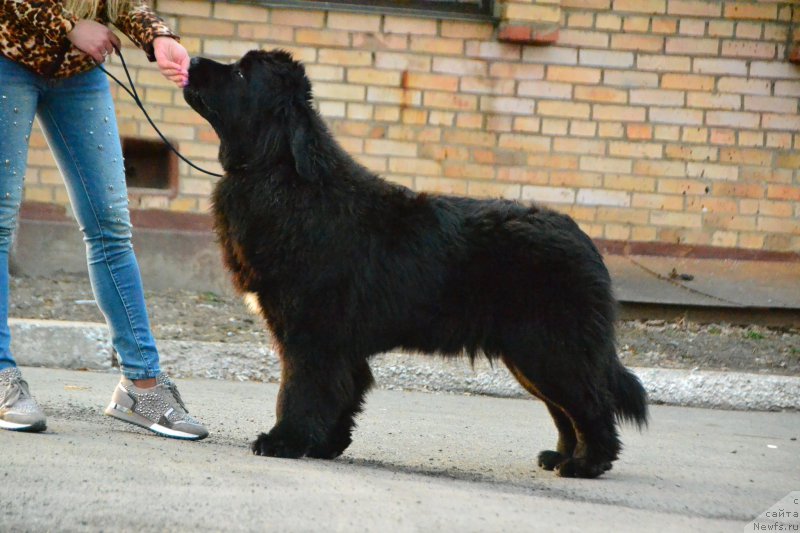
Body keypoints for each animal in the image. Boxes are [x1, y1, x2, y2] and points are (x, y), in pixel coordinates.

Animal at [184, 50, 648, 476]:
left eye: (241, 74)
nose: (191, 60)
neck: (280, 174)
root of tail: (583, 240)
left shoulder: (310, 334)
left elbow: (299, 391)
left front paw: (285, 441)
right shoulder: (339, 345)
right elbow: (343, 393)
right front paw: (327, 445)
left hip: (552, 350)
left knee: (592, 405)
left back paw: (586, 464)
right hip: (533, 356)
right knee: (565, 411)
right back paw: (561, 457)